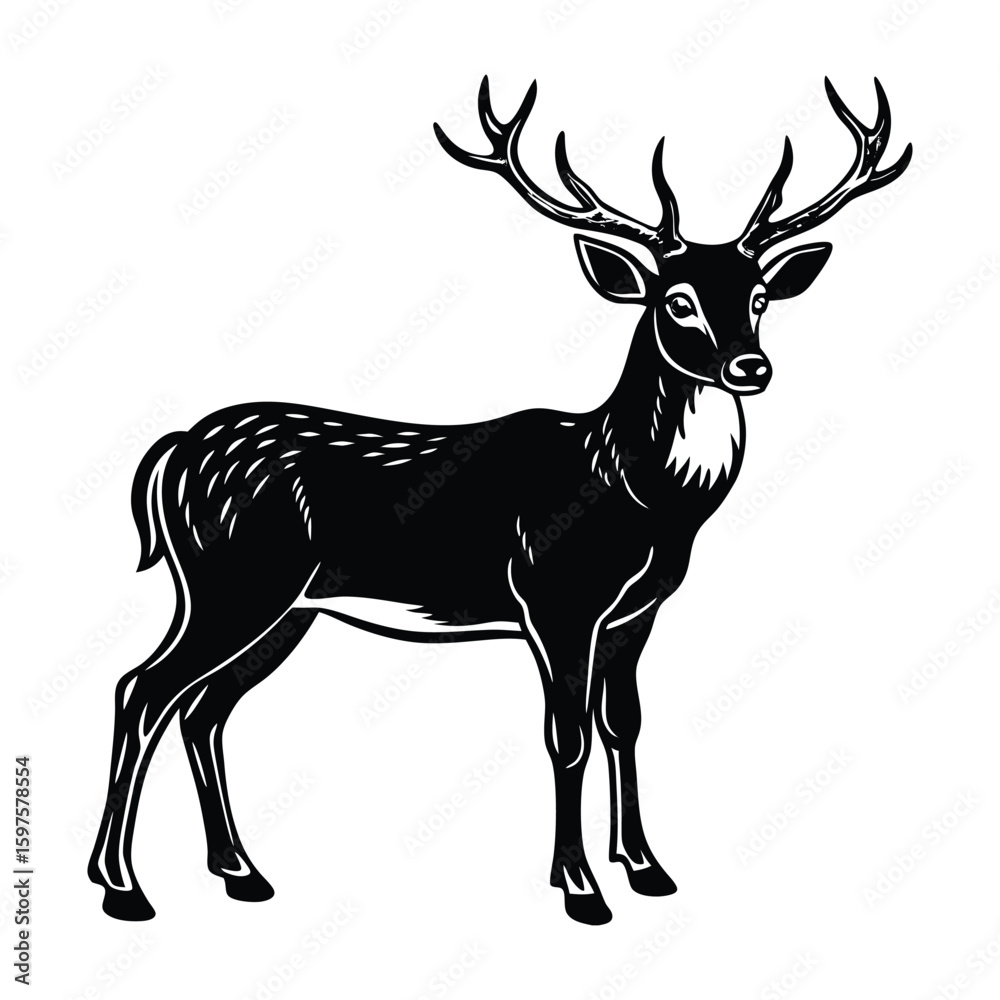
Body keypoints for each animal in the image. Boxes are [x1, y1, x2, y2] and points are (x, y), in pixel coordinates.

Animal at [89, 77, 910, 925]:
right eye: (677, 300)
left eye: (760, 298)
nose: (750, 367)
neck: (633, 494)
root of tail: (175, 450)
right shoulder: (555, 597)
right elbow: (567, 736)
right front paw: (579, 887)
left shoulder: (637, 611)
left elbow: (624, 726)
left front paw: (646, 867)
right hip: (231, 580)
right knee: (142, 690)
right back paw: (121, 886)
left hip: (286, 607)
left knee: (204, 708)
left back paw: (241, 872)